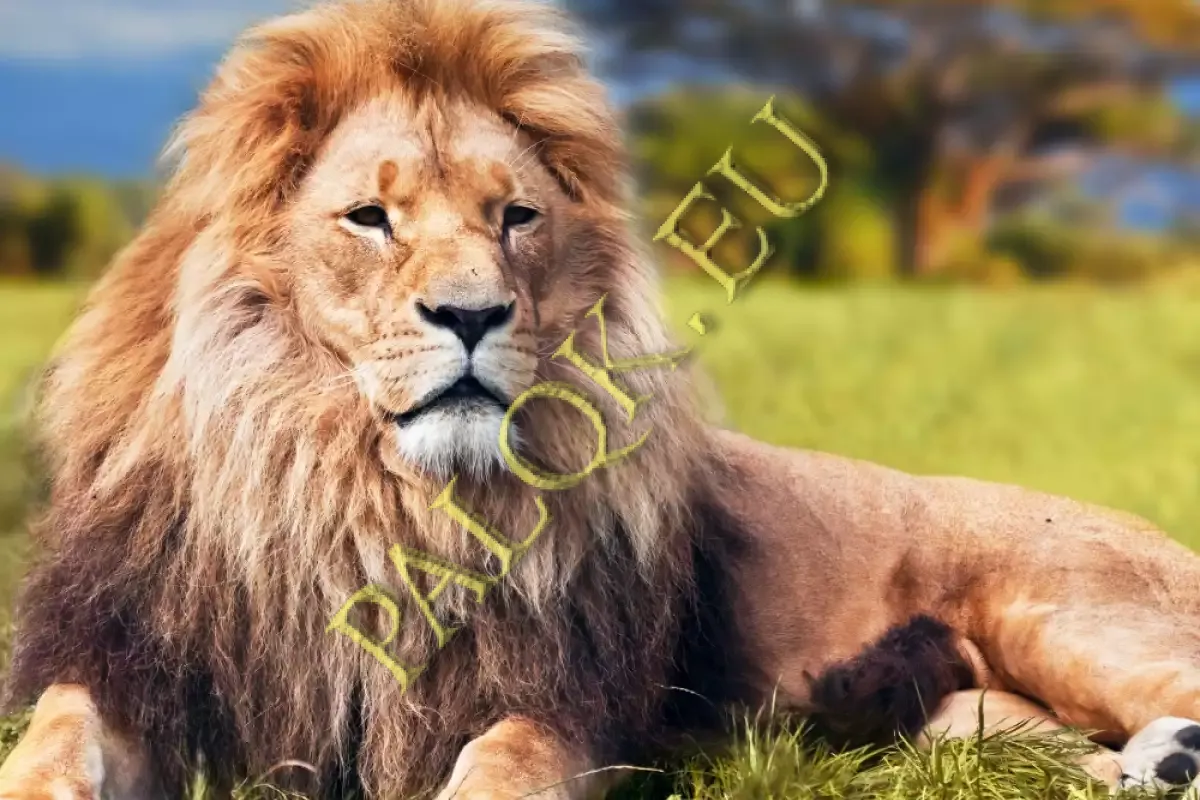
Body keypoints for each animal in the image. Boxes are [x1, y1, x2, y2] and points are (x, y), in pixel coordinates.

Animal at [5, 1, 1200, 798]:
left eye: (516, 217)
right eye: (370, 218)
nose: (473, 314)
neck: (360, 486)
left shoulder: (563, 699)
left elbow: (499, 766)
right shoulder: (129, 665)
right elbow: (50, 744)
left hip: (1067, 616)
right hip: (960, 718)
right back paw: (1161, 763)